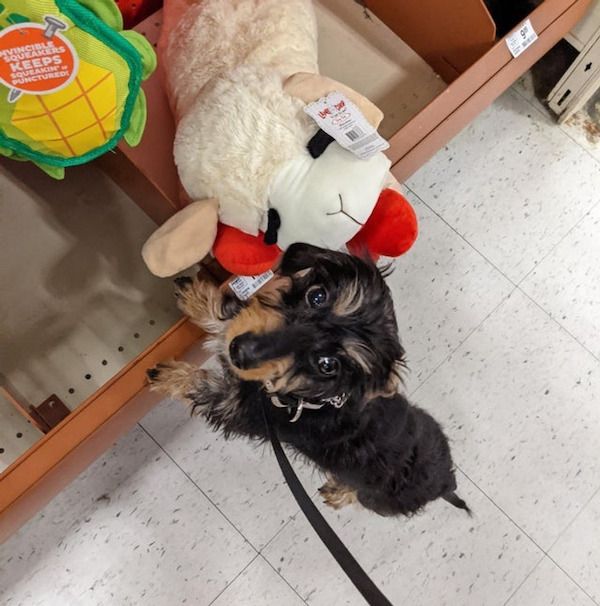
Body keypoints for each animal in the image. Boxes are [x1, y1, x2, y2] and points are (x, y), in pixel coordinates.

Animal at [145, 245, 468, 520]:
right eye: (317, 296)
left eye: (328, 365)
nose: (240, 352)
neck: (309, 398)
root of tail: (446, 484)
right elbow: (230, 318)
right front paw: (196, 297)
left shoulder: (242, 409)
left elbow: (208, 390)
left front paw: (169, 376)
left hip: (378, 497)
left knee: (360, 496)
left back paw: (337, 493)